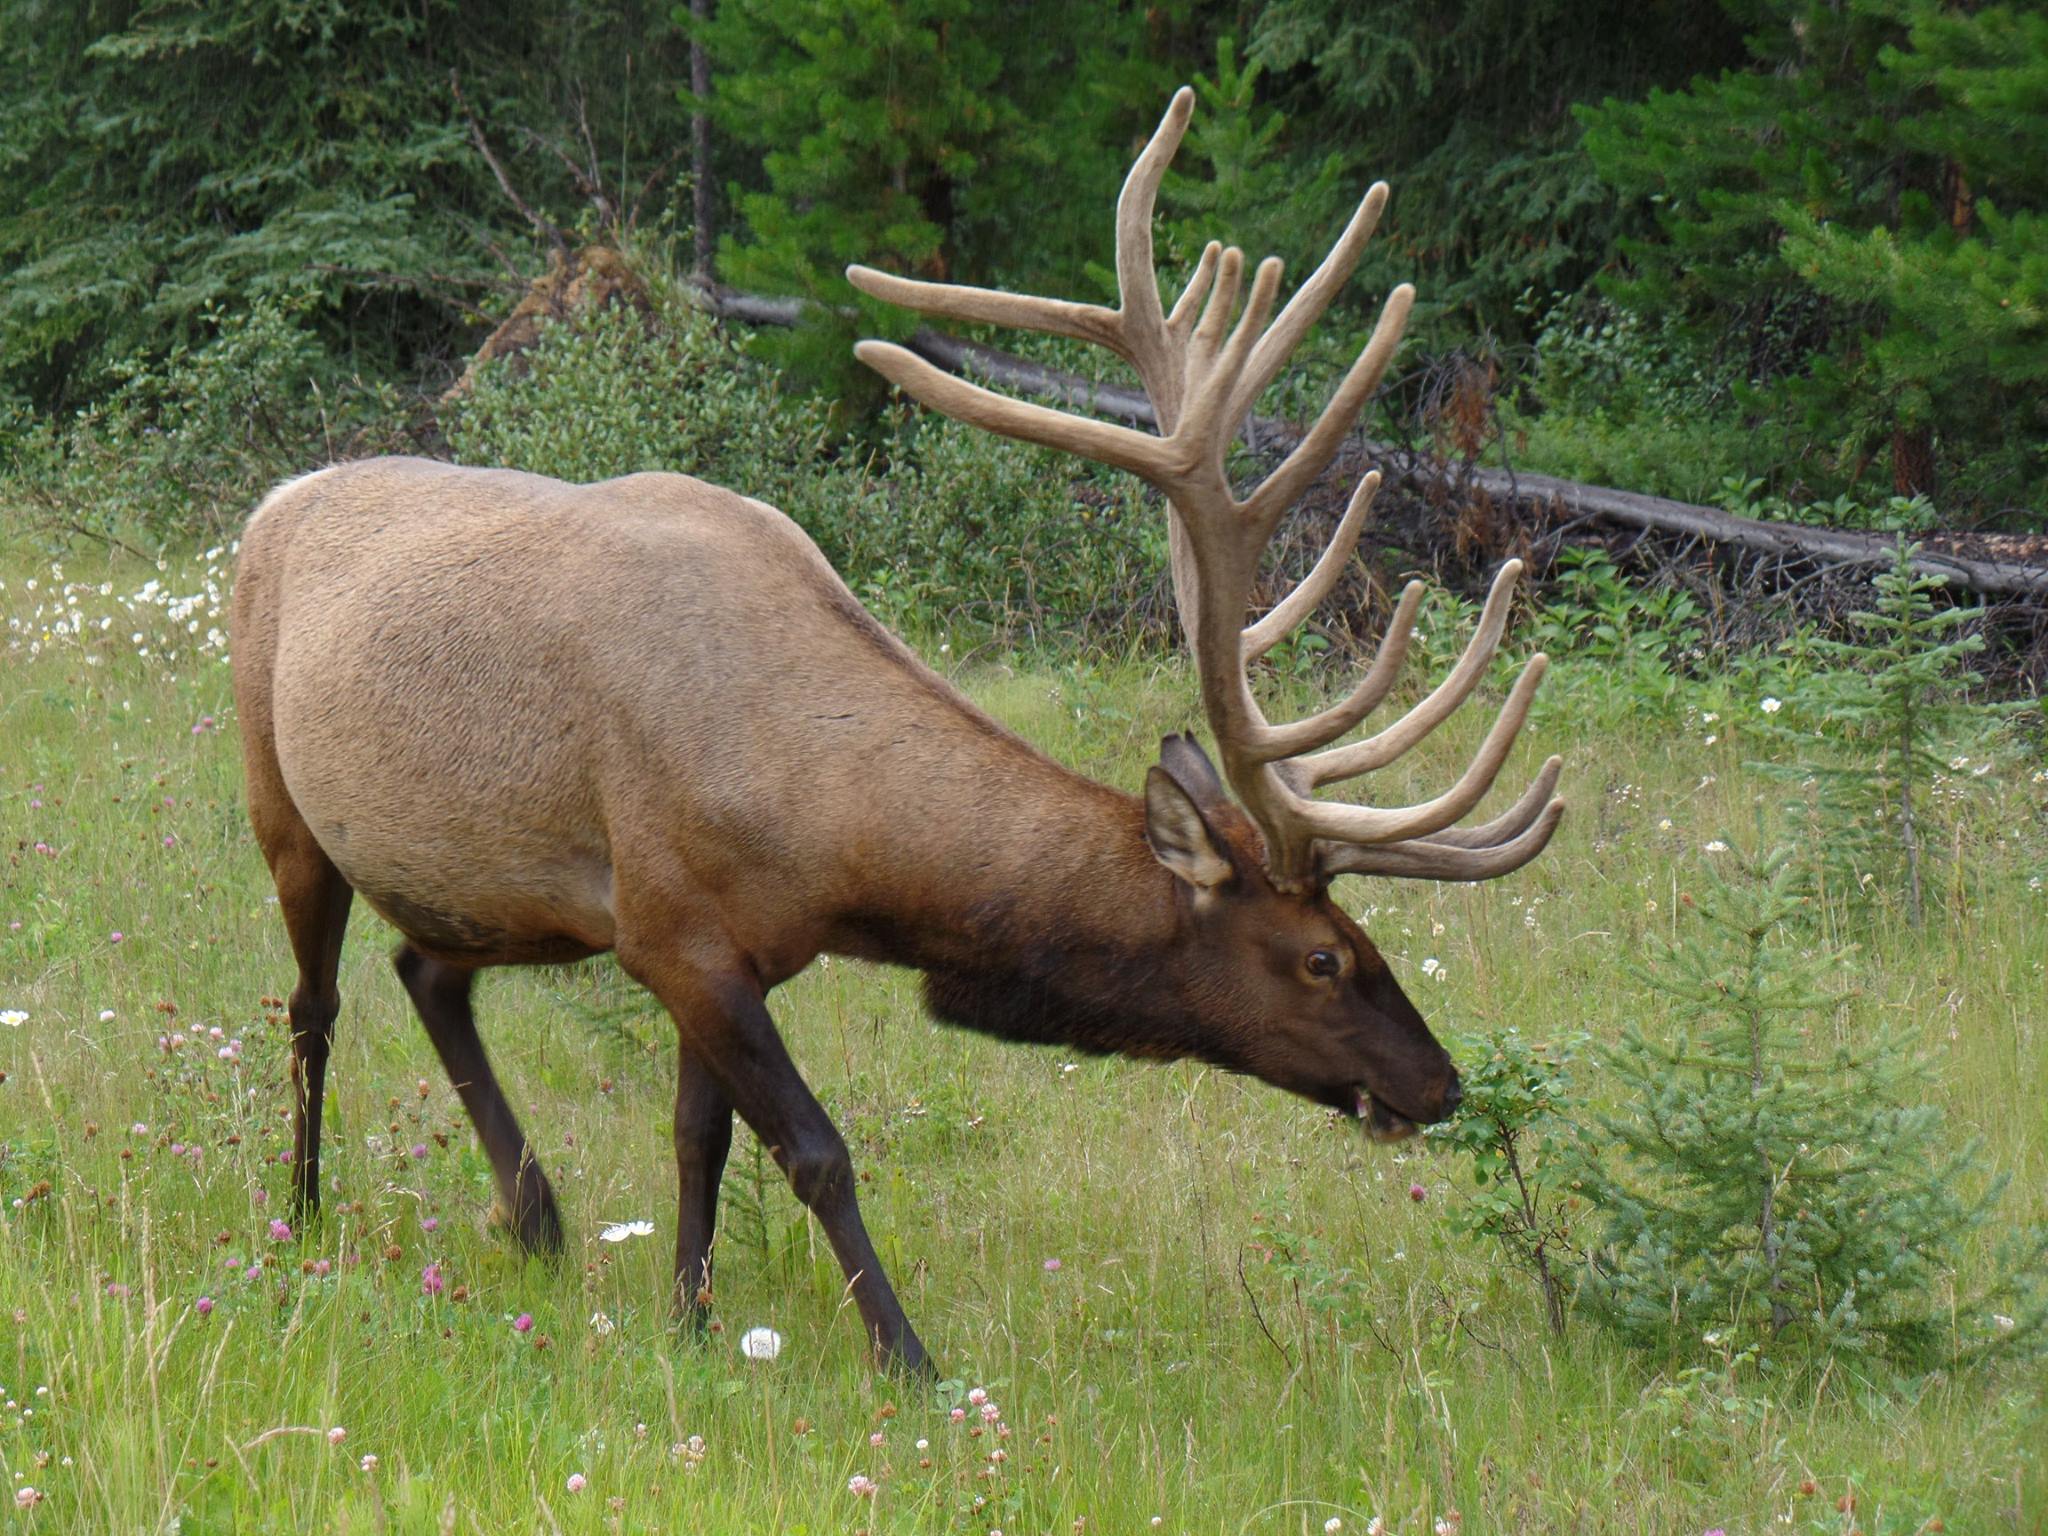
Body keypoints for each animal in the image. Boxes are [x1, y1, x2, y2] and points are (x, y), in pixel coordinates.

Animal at [228, 90, 1564, 1376]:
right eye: (1325, 958)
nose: (1438, 1083)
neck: (832, 848)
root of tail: (273, 501)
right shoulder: (672, 932)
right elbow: (814, 1150)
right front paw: (903, 1356)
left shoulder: (716, 945)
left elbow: (697, 1139)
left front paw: (688, 1323)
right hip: (280, 803)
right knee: (312, 1007)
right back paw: (303, 1209)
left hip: (487, 889)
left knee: (425, 971)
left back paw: (536, 1216)